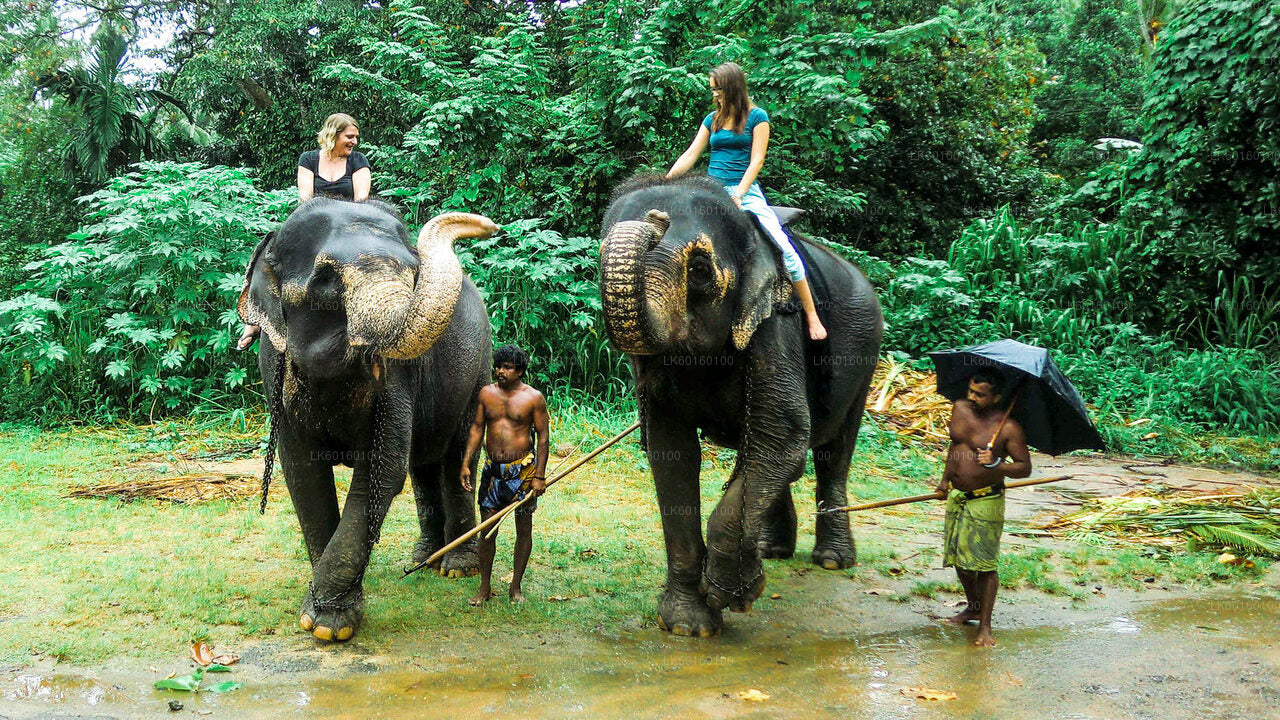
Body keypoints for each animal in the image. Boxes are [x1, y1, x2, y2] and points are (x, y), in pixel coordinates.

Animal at [235, 196, 494, 638]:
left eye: (413, 273)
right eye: (325, 280)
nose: (489, 225)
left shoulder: (397, 376)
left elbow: (381, 469)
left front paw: (328, 626)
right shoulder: (274, 368)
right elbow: (302, 474)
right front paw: (323, 616)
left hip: (479, 368)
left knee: (457, 456)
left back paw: (455, 568)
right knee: (422, 463)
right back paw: (422, 559)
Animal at [596, 174, 880, 632]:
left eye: (699, 270)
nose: (656, 219)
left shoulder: (776, 324)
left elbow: (781, 433)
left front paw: (733, 594)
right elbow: (672, 452)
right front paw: (688, 625)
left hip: (866, 356)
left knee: (832, 451)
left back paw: (833, 560)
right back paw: (770, 550)